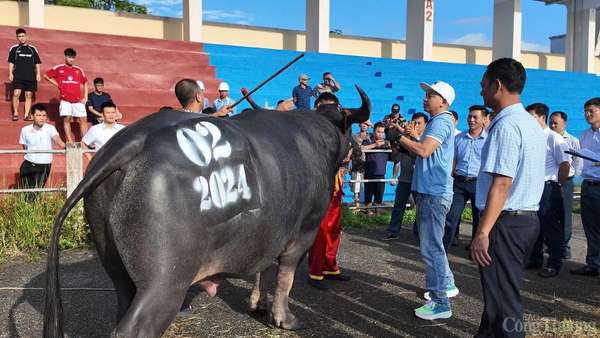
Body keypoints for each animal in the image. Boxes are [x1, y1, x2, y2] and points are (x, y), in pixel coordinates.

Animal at [43, 86, 370, 336]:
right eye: (351, 128)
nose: (361, 154)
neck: (318, 139)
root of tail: (128, 144)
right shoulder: (304, 232)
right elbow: (285, 278)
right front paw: (284, 318)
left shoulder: (269, 231)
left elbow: (263, 269)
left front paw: (258, 304)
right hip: (165, 280)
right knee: (133, 327)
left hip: (115, 262)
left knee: (121, 302)